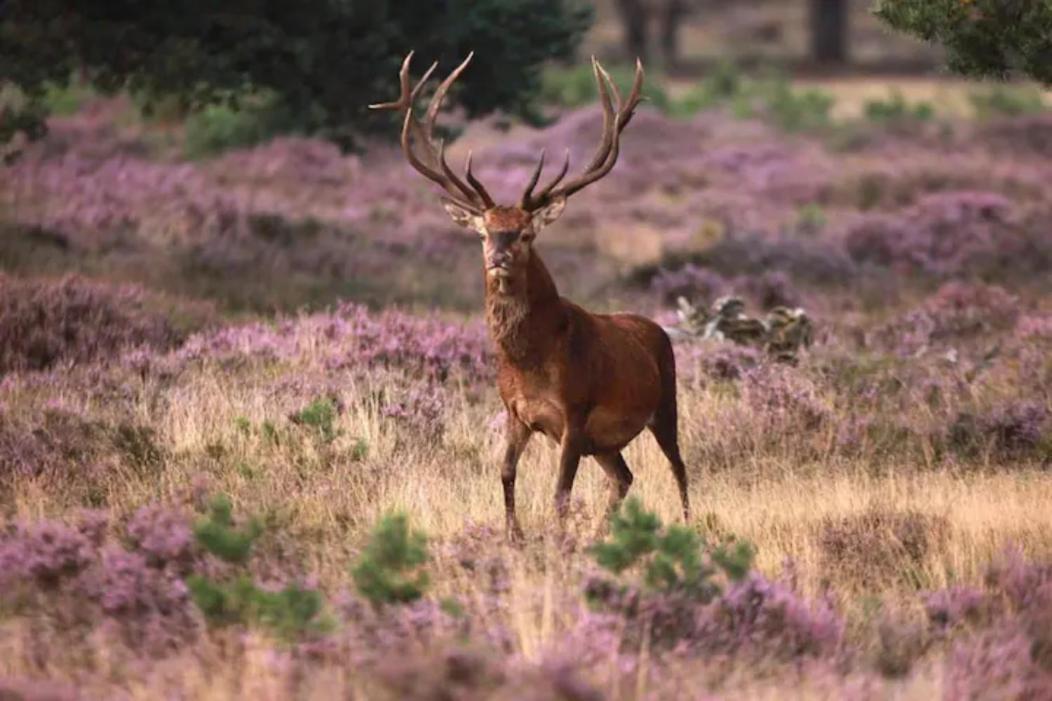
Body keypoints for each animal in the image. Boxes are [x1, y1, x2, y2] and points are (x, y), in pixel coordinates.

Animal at [372, 51, 690, 536]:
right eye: (484, 231)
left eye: (524, 234)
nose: (498, 257)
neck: (532, 362)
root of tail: (656, 328)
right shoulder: (515, 412)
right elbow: (505, 473)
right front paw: (514, 536)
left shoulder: (575, 413)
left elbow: (560, 493)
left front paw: (555, 542)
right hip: (606, 443)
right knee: (624, 477)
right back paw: (601, 535)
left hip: (665, 403)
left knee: (679, 468)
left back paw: (690, 527)